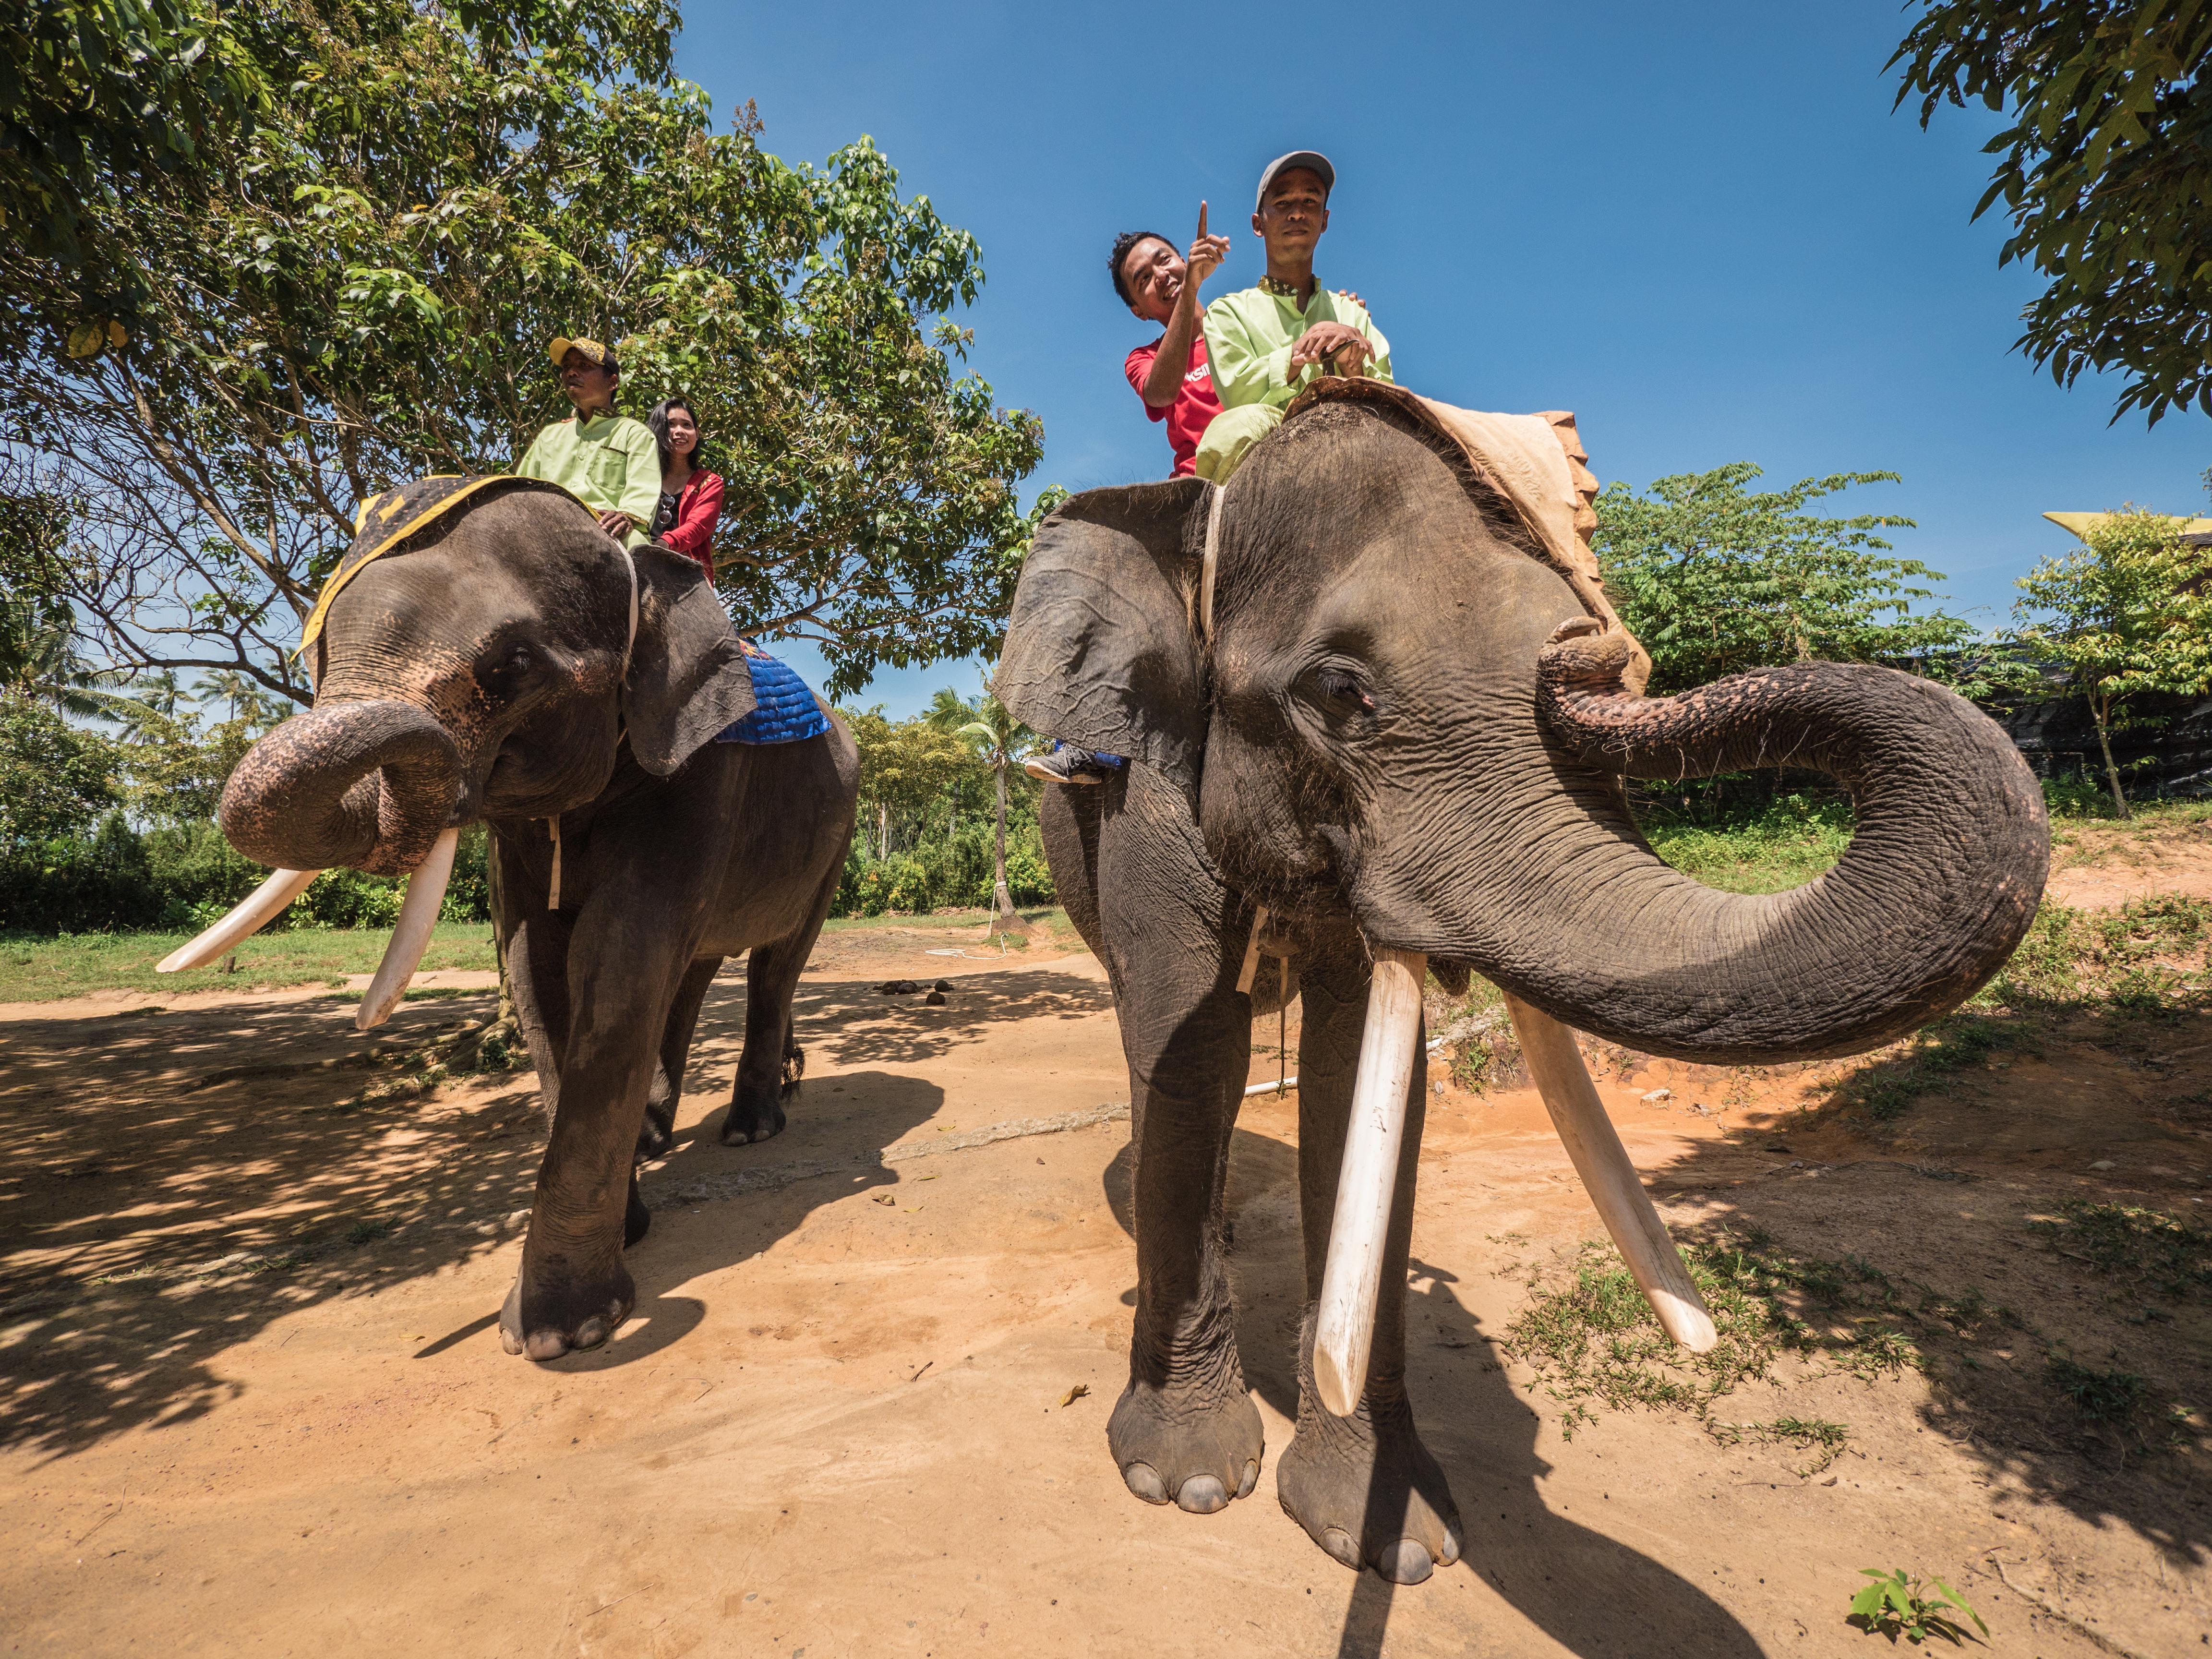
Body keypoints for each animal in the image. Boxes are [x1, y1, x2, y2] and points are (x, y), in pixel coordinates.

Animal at [181, 478, 858, 1362]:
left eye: (512, 666)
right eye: (318, 650)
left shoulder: (701, 775)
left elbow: (617, 958)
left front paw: (558, 1334)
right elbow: (537, 963)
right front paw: (629, 1226)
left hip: (835, 837)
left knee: (776, 961)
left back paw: (751, 1129)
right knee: (695, 968)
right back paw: (657, 1136)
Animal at [995, 383, 2044, 1592]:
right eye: (1340, 692)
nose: (1592, 654)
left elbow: (1356, 1074)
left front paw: (1393, 1540)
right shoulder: (1150, 807)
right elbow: (1189, 1041)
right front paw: (1190, 1485)